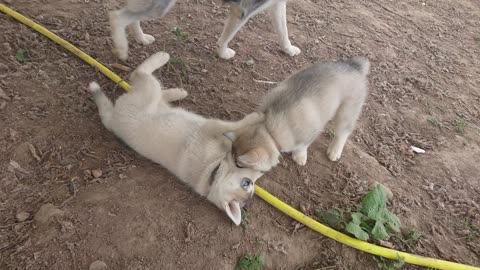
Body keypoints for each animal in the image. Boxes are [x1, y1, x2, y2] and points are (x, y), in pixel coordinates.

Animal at [88, 51, 264, 225]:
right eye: (246, 184)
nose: (252, 182)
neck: (212, 173)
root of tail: (113, 120)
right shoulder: (211, 126)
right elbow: (234, 126)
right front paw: (254, 119)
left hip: (151, 95)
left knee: (150, 85)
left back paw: (175, 90)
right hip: (150, 91)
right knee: (139, 73)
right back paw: (164, 60)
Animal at [109, 0, 300, 60]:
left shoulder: (277, 4)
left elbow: (283, 31)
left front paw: (288, 49)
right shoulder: (242, 11)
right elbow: (225, 38)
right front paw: (223, 53)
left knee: (131, 17)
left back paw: (141, 38)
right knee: (117, 17)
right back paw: (122, 49)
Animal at [225, 57, 372, 172]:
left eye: (239, 165)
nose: (232, 168)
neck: (269, 128)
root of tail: (354, 66)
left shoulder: (308, 134)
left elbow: (302, 147)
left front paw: (299, 157)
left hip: (346, 112)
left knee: (343, 132)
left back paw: (334, 151)